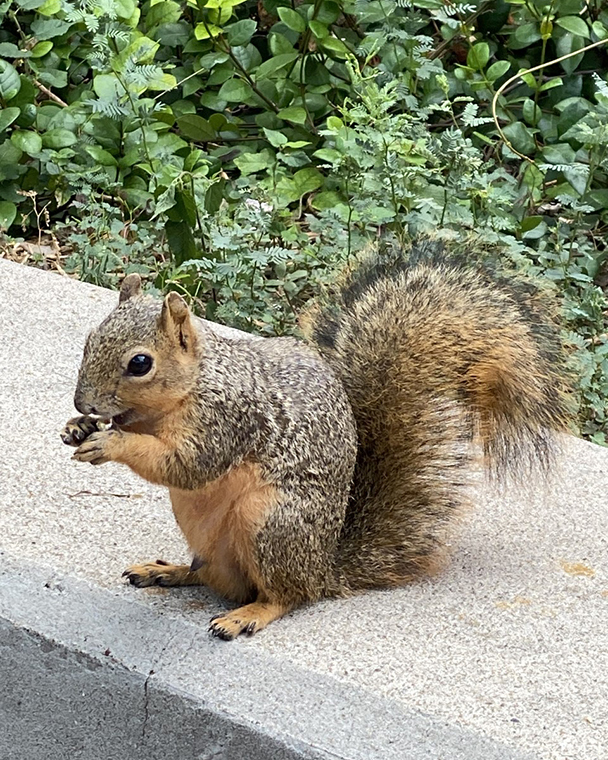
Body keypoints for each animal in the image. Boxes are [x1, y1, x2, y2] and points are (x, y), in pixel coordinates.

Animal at [60, 240, 568, 640]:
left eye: (140, 363)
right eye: (89, 340)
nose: (83, 401)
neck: (191, 387)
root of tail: (324, 568)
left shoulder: (227, 421)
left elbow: (188, 464)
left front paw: (110, 444)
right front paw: (77, 427)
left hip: (271, 523)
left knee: (287, 595)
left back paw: (248, 614)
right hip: (203, 527)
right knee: (215, 578)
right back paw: (169, 571)